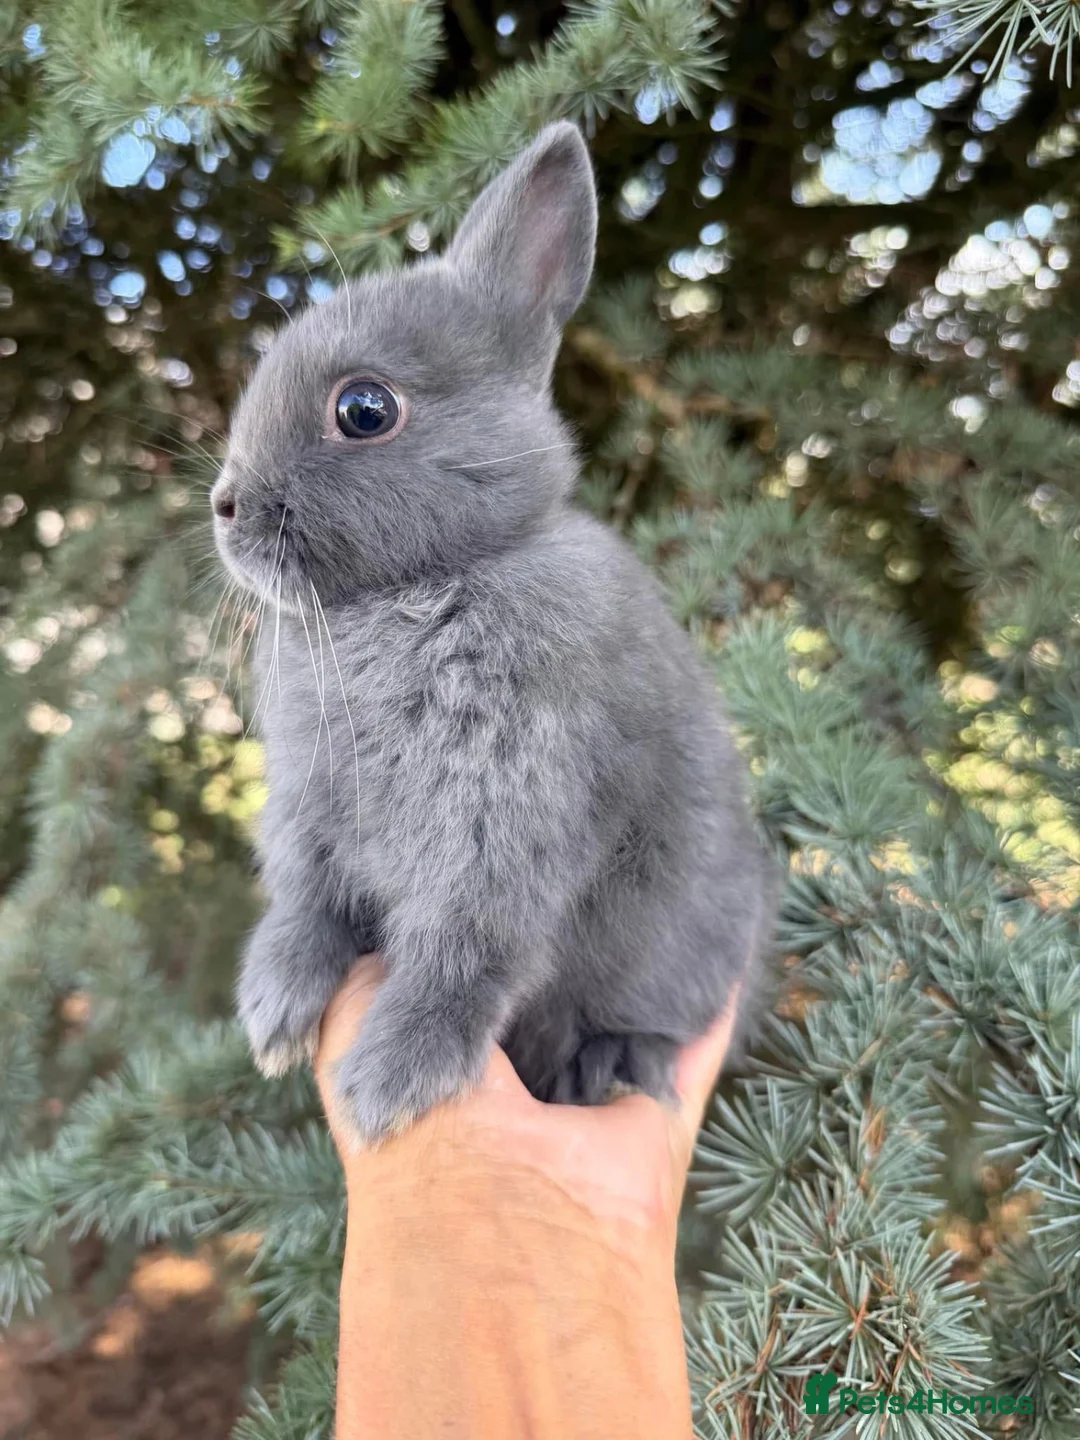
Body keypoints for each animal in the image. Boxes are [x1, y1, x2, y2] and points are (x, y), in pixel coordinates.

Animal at [211, 121, 776, 1143]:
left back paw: (612, 1066)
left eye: (364, 409)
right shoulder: (313, 812)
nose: (223, 507)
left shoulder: (508, 810)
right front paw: (273, 1013)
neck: (428, 580)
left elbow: (467, 949)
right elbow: (307, 906)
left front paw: (392, 1081)